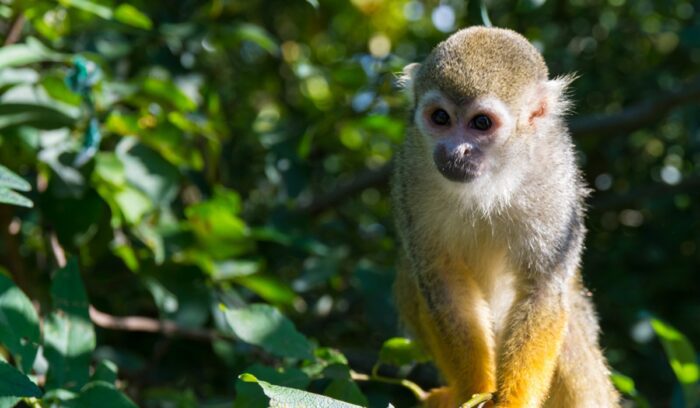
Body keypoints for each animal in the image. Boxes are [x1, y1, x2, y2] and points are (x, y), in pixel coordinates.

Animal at [392, 27, 620, 407]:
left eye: (481, 123)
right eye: (440, 118)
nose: (454, 151)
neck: (493, 179)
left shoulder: (554, 176)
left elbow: (542, 290)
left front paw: (512, 402)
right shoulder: (412, 169)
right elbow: (441, 279)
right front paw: (472, 390)